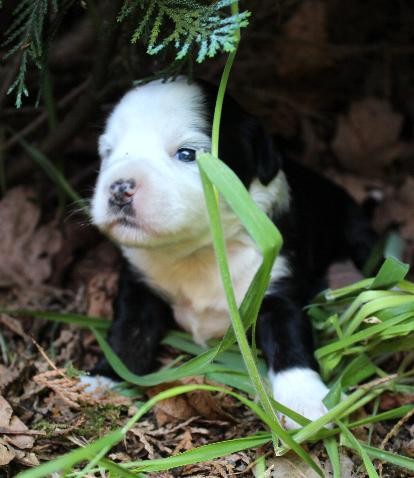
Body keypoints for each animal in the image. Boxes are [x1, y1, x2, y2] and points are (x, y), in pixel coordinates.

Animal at [90, 76, 376, 428]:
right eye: (108, 153)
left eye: (187, 154)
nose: (119, 188)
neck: (199, 251)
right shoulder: (139, 285)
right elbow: (127, 335)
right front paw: (104, 379)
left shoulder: (277, 285)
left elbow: (289, 341)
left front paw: (305, 403)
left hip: (355, 228)